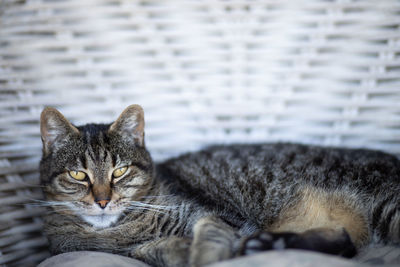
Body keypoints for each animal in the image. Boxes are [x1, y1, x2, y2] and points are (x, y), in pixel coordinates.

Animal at [39, 105, 400, 266]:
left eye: (120, 171)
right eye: (78, 175)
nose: (102, 201)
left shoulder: (219, 216)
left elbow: (209, 232)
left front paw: (203, 252)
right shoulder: (128, 252)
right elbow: (155, 251)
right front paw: (180, 249)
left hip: (387, 209)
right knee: (345, 241)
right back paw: (267, 245)